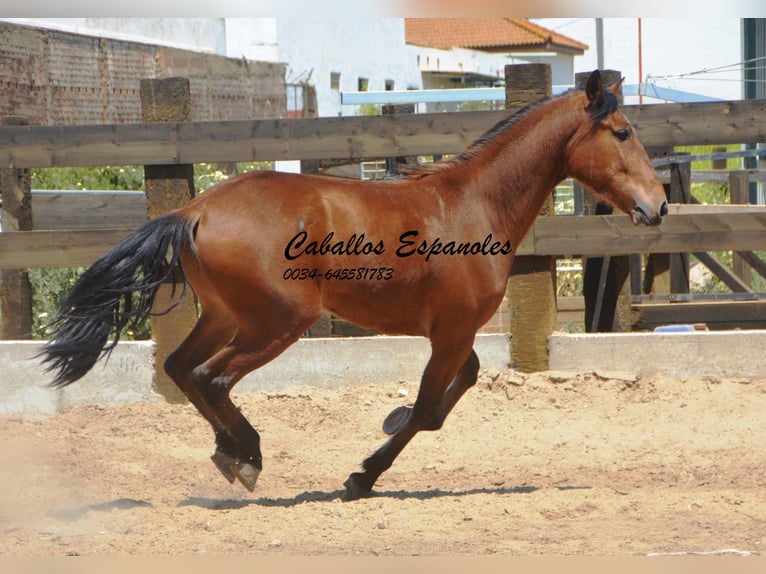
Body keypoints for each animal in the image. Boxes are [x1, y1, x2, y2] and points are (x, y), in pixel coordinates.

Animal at [39, 72, 668, 502]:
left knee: (179, 369)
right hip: (277, 323)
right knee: (210, 377)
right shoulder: (453, 332)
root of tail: (194, 211)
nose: (658, 205)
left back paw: (229, 451)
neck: (473, 205)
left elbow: (448, 397)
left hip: (223, 314)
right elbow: (426, 409)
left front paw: (383, 431)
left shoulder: (453, 333)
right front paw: (362, 476)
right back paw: (247, 457)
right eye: (622, 132)